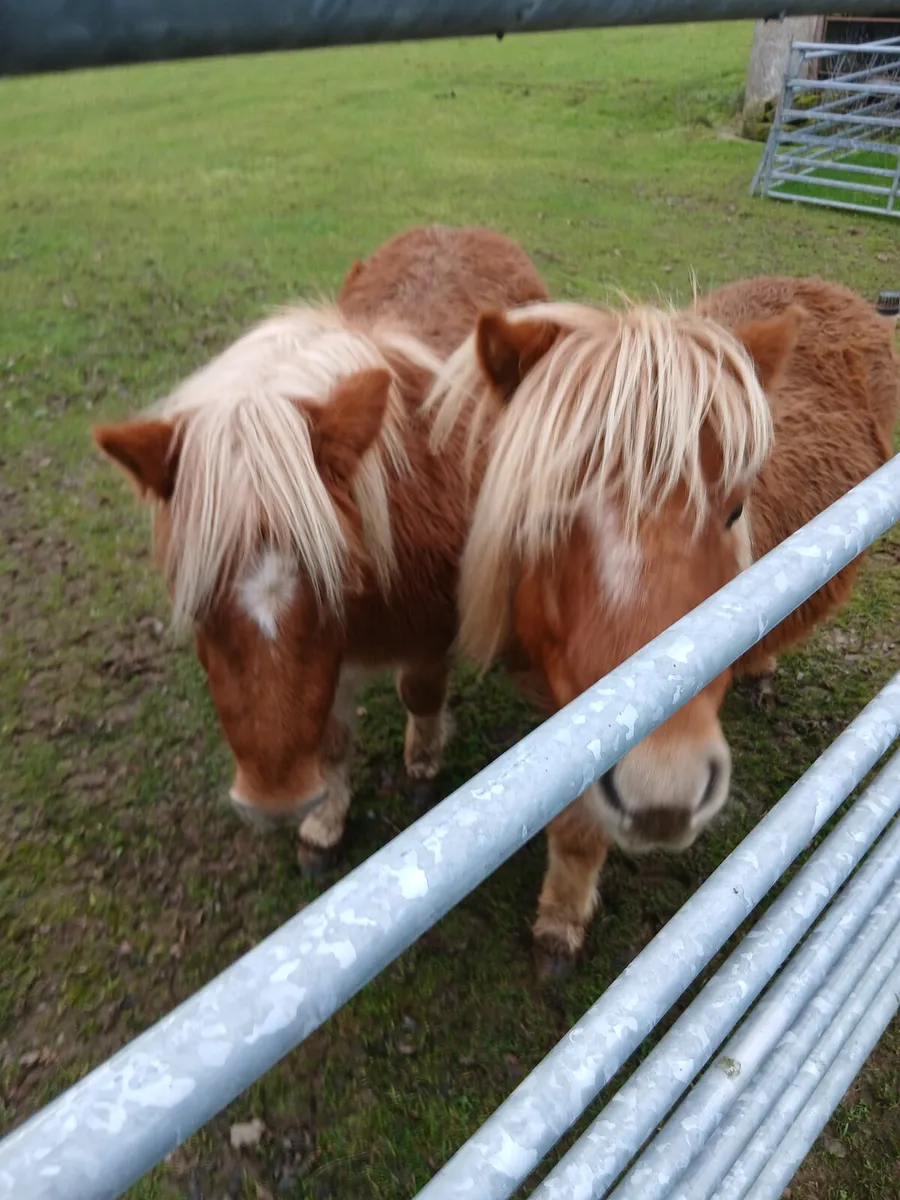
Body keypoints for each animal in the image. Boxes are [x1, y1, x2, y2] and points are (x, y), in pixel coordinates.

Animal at [93, 224, 548, 867]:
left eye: (334, 572)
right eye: (195, 598)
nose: (273, 803)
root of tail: (458, 228)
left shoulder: (432, 629)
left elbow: (420, 693)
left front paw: (422, 764)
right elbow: (331, 739)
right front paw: (323, 824)